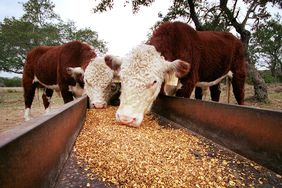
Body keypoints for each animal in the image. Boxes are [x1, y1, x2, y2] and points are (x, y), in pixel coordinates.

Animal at [104, 21, 246, 127]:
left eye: (154, 82)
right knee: (215, 93)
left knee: (239, 94)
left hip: (239, 72)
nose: (125, 118)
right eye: (122, 78)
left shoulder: (188, 83)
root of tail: (234, 37)